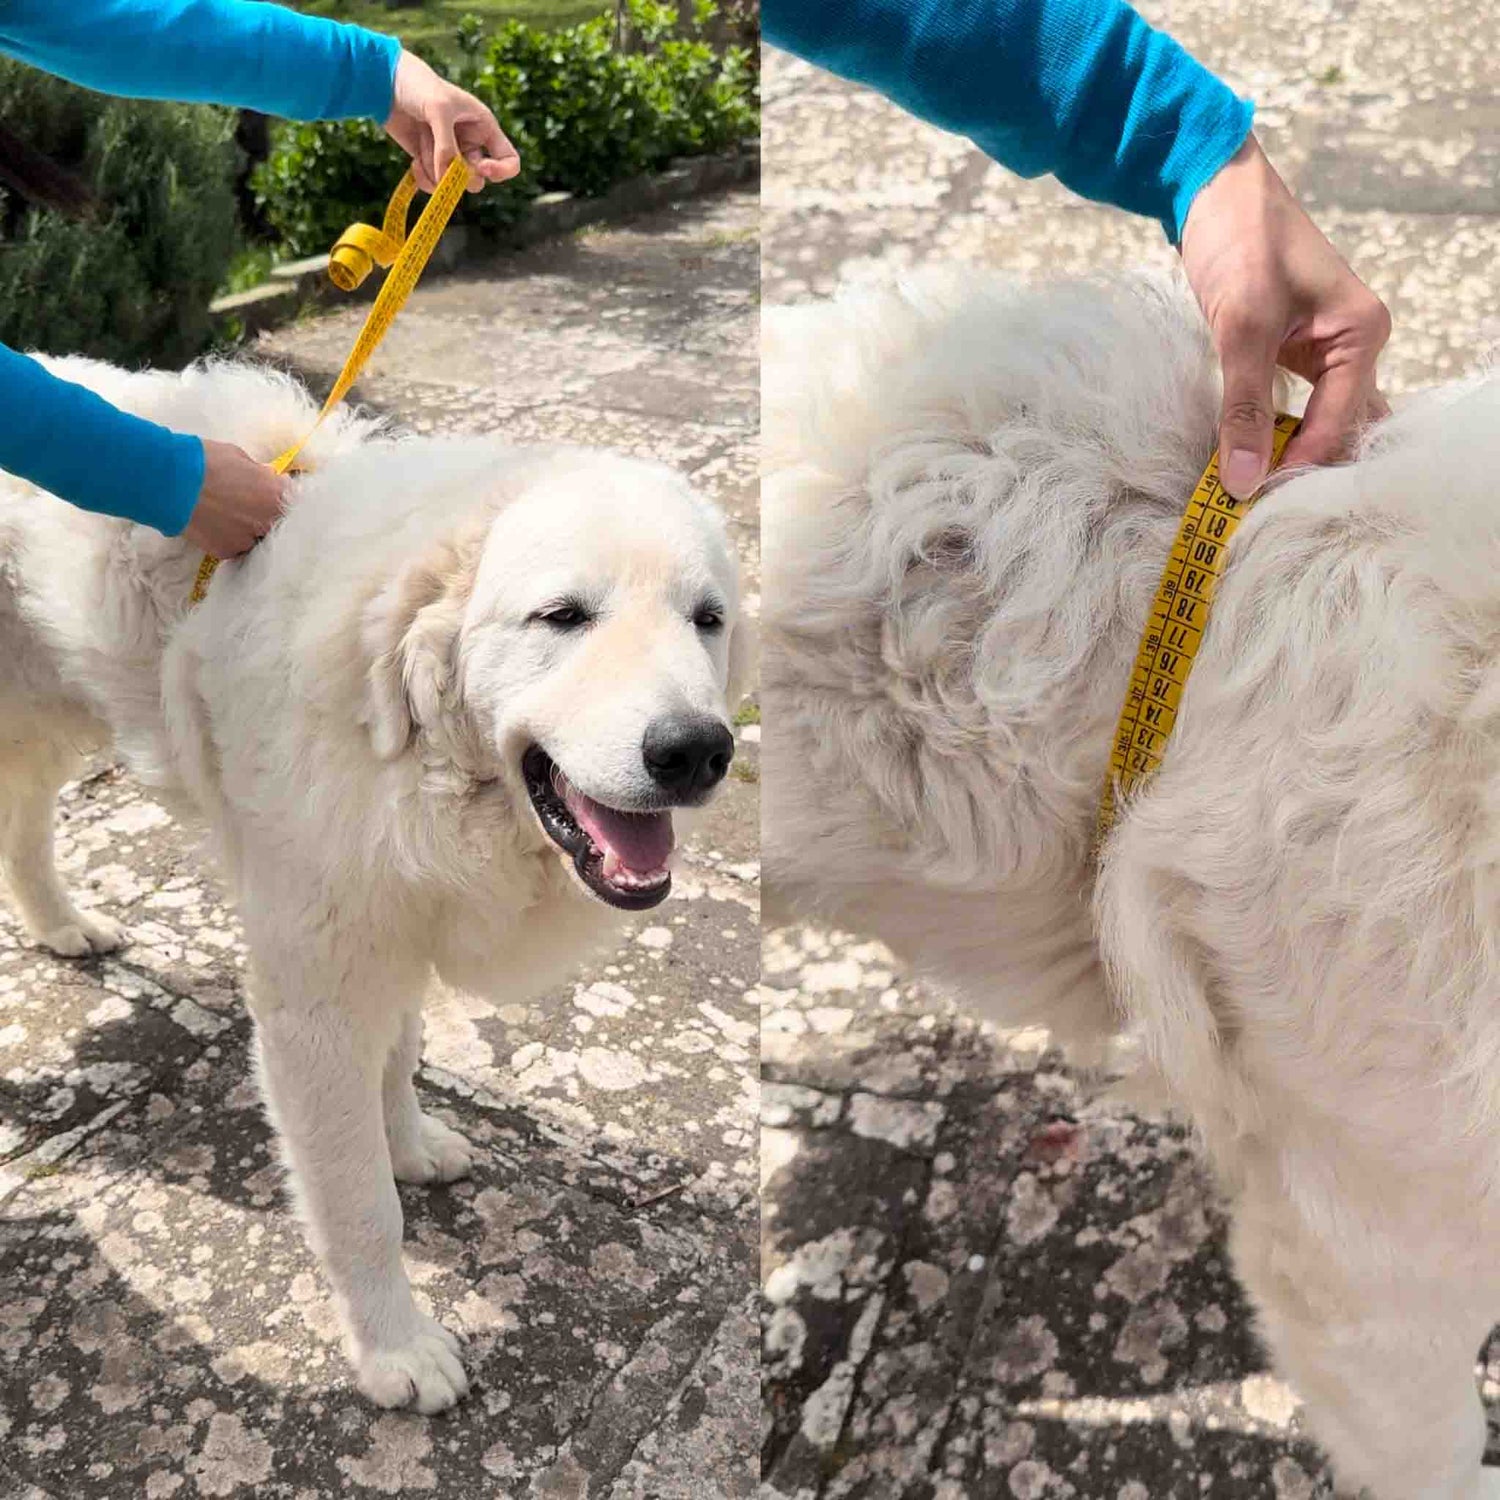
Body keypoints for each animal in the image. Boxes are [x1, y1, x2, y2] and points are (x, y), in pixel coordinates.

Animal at [0, 357, 750, 1410]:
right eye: (563, 617)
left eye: (707, 620)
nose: (696, 752)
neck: (394, 732)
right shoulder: (317, 994)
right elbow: (359, 1206)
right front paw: (395, 1349)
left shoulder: (395, 916)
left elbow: (400, 1059)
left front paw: (412, 1145)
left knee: (24, 824)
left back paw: (62, 927)